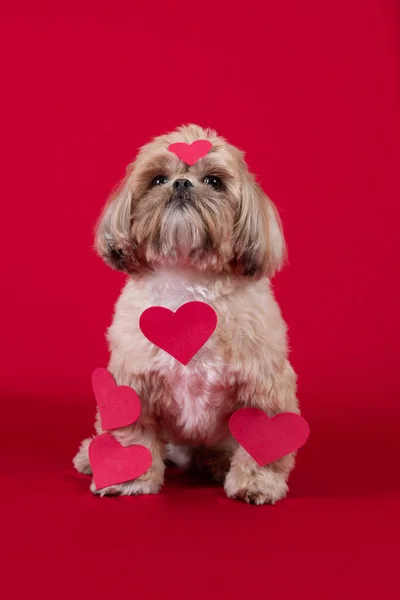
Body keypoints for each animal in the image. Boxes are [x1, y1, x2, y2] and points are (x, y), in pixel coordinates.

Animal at [73, 124, 298, 504]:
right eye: (159, 179)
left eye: (214, 181)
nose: (181, 184)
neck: (188, 281)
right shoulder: (132, 383)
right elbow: (132, 435)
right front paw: (128, 478)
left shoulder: (262, 386)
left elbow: (264, 443)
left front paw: (257, 483)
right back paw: (92, 457)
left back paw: (216, 464)